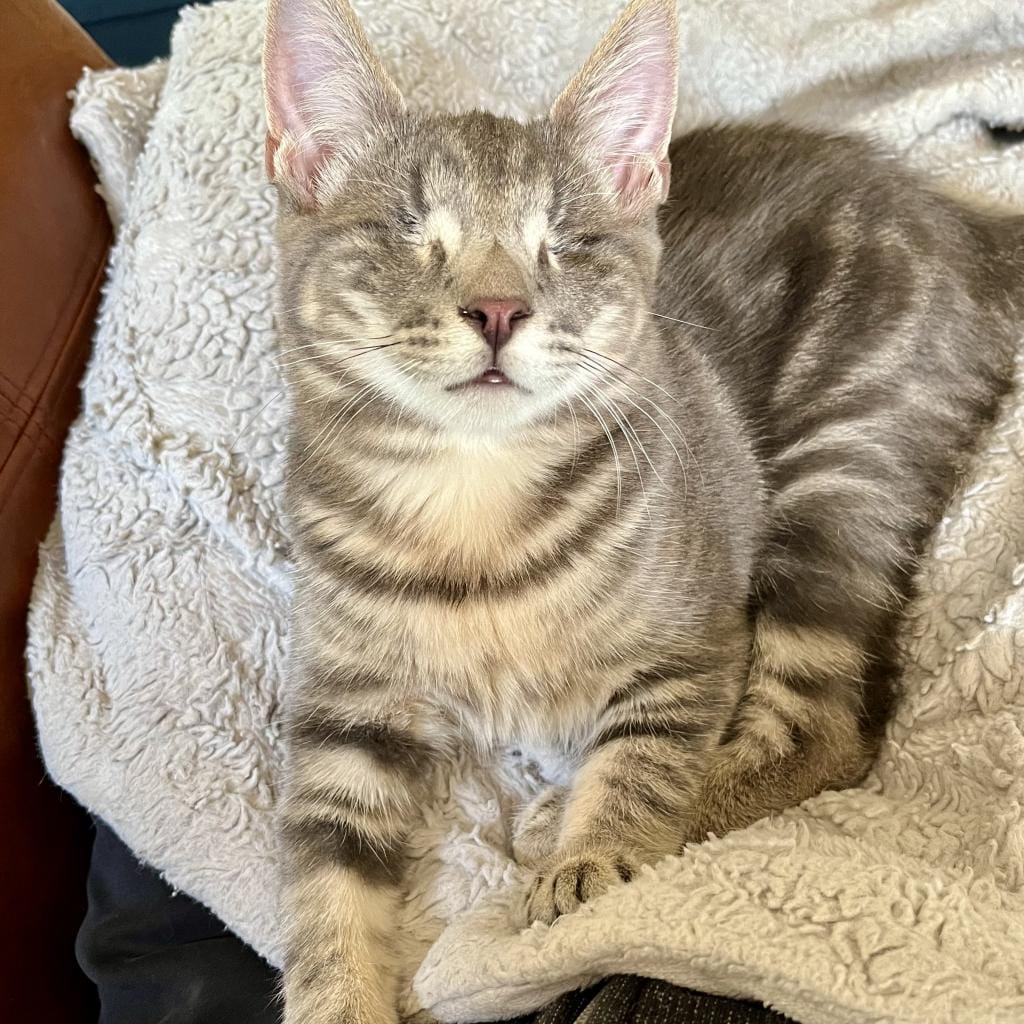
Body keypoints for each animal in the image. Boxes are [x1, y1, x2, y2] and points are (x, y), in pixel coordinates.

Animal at [262, 0, 1015, 1019]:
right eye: (407, 230)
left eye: (566, 241)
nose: (498, 308)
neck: (473, 502)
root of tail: (959, 219)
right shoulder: (344, 709)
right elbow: (323, 880)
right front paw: (337, 993)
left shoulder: (692, 639)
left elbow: (650, 762)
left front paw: (592, 854)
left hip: (842, 456)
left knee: (826, 730)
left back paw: (551, 839)